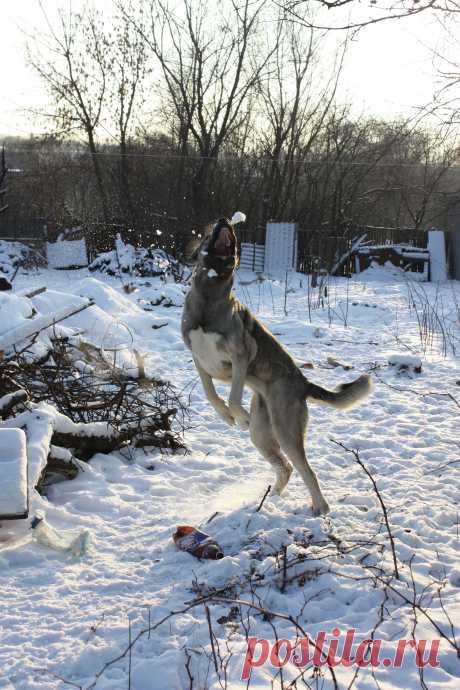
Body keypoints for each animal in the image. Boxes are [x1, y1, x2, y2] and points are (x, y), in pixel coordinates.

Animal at [181, 218, 372, 512]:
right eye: (210, 230)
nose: (225, 221)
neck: (209, 300)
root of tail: (304, 384)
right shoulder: (198, 358)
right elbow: (210, 393)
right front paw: (226, 416)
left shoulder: (242, 356)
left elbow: (233, 395)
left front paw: (237, 415)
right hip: (262, 433)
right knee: (285, 467)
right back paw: (271, 498)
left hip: (285, 430)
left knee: (306, 471)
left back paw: (320, 507)